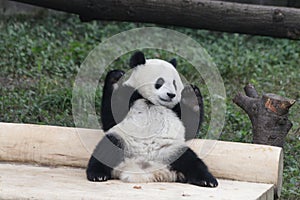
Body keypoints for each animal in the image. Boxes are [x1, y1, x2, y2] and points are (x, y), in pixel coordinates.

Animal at [86, 50, 218, 188]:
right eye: (160, 82)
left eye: (174, 84)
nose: (171, 95)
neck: (152, 102)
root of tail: (144, 169)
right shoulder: (129, 98)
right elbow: (110, 119)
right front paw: (116, 78)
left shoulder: (176, 111)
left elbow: (190, 127)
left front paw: (192, 97)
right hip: (124, 142)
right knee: (106, 148)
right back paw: (97, 174)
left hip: (171, 150)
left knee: (191, 160)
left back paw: (207, 180)